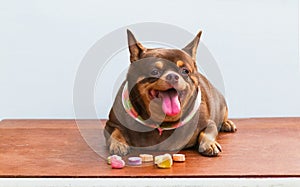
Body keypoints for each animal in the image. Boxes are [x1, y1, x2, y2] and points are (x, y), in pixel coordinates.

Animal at [104, 30, 236, 156]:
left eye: (185, 71)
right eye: (154, 72)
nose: (172, 76)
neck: (163, 122)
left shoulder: (209, 123)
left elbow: (208, 132)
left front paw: (209, 144)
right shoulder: (111, 124)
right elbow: (115, 132)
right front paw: (118, 144)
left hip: (222, 105)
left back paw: (227, 123)